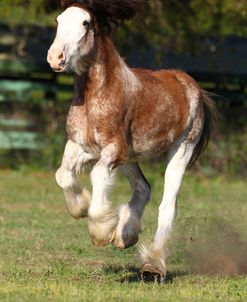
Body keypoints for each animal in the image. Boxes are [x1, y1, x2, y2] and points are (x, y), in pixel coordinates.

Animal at [47, 0, 217, 280]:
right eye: (58, 20)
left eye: (85, 23)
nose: (55, 57)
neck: (97, 95)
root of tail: (192, 85)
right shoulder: (81, 146)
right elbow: (62, 175)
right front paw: (81, 207)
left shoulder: (112, 150)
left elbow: (96, 176)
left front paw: (101, 230)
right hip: (130, 157)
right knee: (143, 188)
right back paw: (126, 236)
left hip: (181, 151)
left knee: (167, 204)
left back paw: (153, 265)